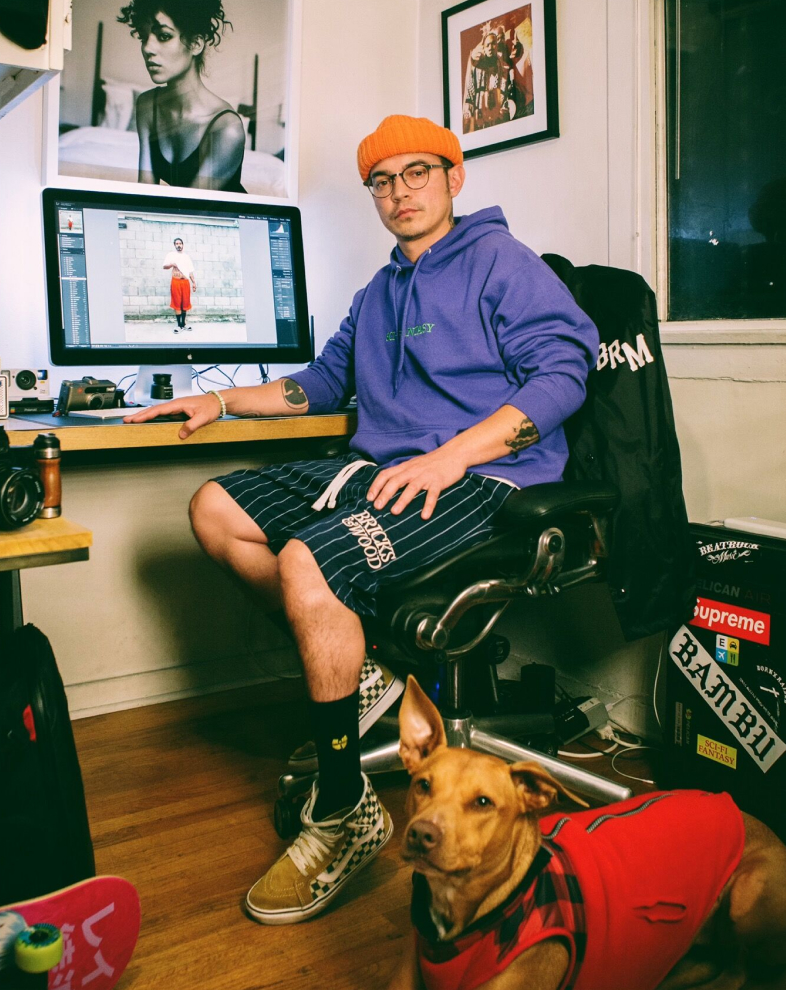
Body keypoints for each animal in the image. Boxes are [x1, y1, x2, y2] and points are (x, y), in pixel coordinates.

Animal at [388, 680, 784, 990]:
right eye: (423, 785)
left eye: (483, 802)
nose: (421, 835)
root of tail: (736, 806)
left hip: (745, 896)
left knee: (737, 970)